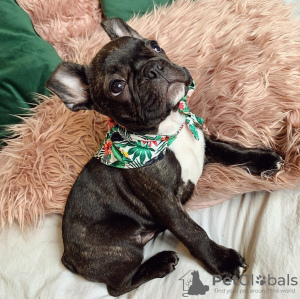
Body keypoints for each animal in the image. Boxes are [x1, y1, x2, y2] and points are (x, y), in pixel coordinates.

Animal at [47, 18, 284, 298]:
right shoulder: (165, 202)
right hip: (122, 248)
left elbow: (232, 150)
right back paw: (160, 263)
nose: (153, 68)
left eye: (155, 46)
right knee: (118, 286)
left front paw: (264, 160)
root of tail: (67, 256)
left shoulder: (206, 145)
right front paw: (222, 260)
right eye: (117, 86)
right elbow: (191, 230)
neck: (169, 131)